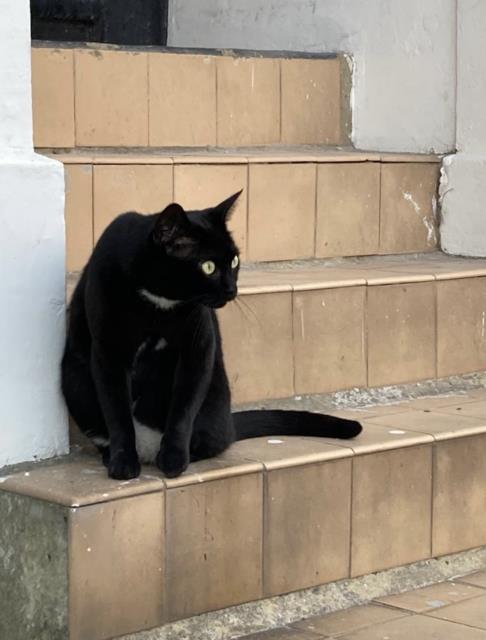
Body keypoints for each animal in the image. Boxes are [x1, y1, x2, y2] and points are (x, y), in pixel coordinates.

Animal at [61, 191, 362, 480]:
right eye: (208, 267)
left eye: (235, 261)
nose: (232, 289)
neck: (159, 301)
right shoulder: (108, 352)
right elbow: (117, 412)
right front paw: (123, 464)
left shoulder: (198, 347)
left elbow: (183, 408)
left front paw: (173, 459)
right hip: (75, 381)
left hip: (214, 397)